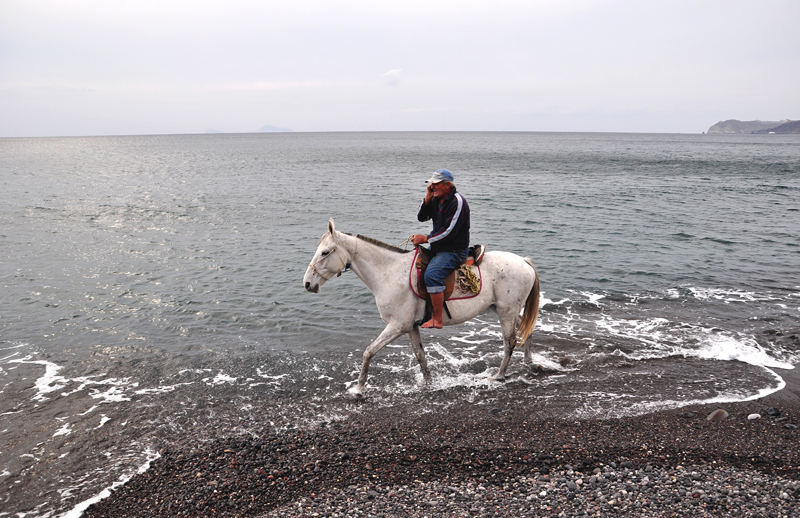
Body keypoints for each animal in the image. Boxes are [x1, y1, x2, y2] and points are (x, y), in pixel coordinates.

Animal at [304, 220, 540, 398]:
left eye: (325, 252)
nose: (307, 284)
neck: (388, 273)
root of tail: (524, 262)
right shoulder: (410, 327)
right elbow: (421, 356)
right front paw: (429, 383)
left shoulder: (397, 326)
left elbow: (368, 352)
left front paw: (360, 388)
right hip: (501, 309)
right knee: (526, 328)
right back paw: (529, 361)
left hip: (506, 312)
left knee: (509, 342)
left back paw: (499, 375)